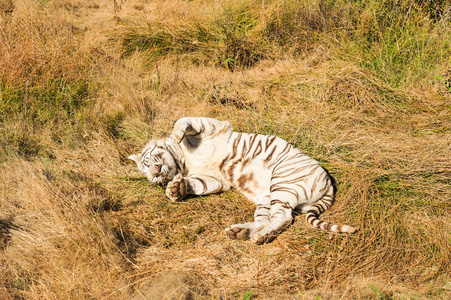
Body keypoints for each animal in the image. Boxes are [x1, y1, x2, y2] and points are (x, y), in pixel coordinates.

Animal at [128, 117, 356, 244]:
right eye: (150, 176)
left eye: (150, 161)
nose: (156, 173)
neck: (183, 160)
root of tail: (329, 185)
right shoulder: (215, 180)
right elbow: (199, 185)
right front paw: (175, 189)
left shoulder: (212, 125)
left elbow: (183, 120)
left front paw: (177, 134)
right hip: (269, 197)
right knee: (269, 220)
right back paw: (242, 233)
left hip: (283, 183)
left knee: (283, 218)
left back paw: (259, 236)